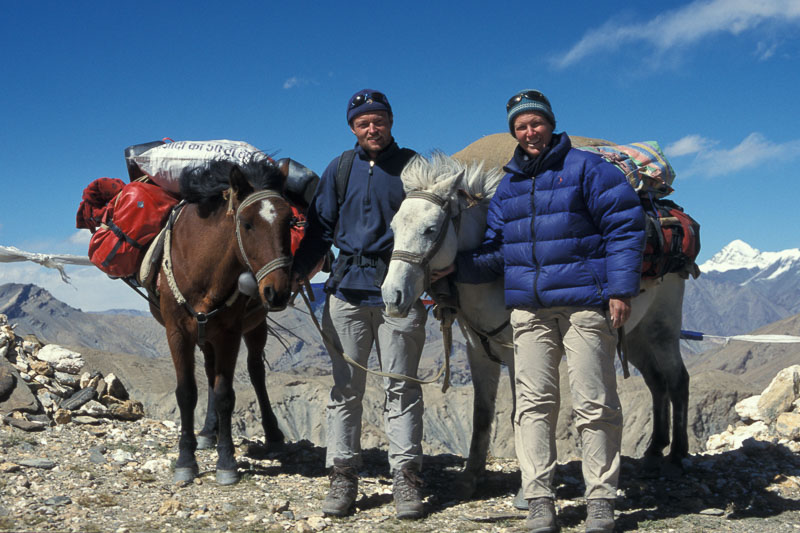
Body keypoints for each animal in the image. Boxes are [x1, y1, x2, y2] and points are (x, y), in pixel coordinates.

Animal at [149, 158, 294, 482]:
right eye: (247, 223)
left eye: (290, 222)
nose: (277, 292)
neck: (202, 268)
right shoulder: (178, 333)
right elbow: (187, 393)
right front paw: (186, 460)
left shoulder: (230, 333)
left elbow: (225, 394)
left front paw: (226, 461)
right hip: (205, 335)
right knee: (210, 369)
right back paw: (207, 432)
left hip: (254, 327)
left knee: (255, 372)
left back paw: (272, 434)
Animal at [382, 152, 688, 496]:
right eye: (393, 227)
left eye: (430, 229)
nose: (391, 296)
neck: (493, 275)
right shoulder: (479, 353)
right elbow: (482, 414)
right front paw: (470, 479)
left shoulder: (519, 354)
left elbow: (521, 413)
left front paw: (527, 486)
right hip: (635, 336)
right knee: (657, 382)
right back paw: (654, 450)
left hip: (662, 328)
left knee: (678, 380)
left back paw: (677, 456)